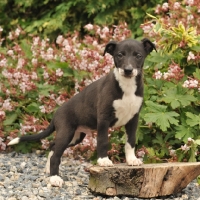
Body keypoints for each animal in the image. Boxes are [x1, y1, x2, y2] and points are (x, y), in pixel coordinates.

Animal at [8, 38, 156, 188]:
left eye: (138, 55)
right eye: (120, 55)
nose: (128, 70)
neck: (126, 87)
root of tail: (56, 114)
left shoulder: (133, 119)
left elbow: (130, 141)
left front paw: (132, 159)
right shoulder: (103, 119)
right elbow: (103, 141)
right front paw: (103, 160)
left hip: (75, 136)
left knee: (53, 146)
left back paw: (48, 170)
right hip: (66, 132)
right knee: (56, 155)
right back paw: (54, 178)